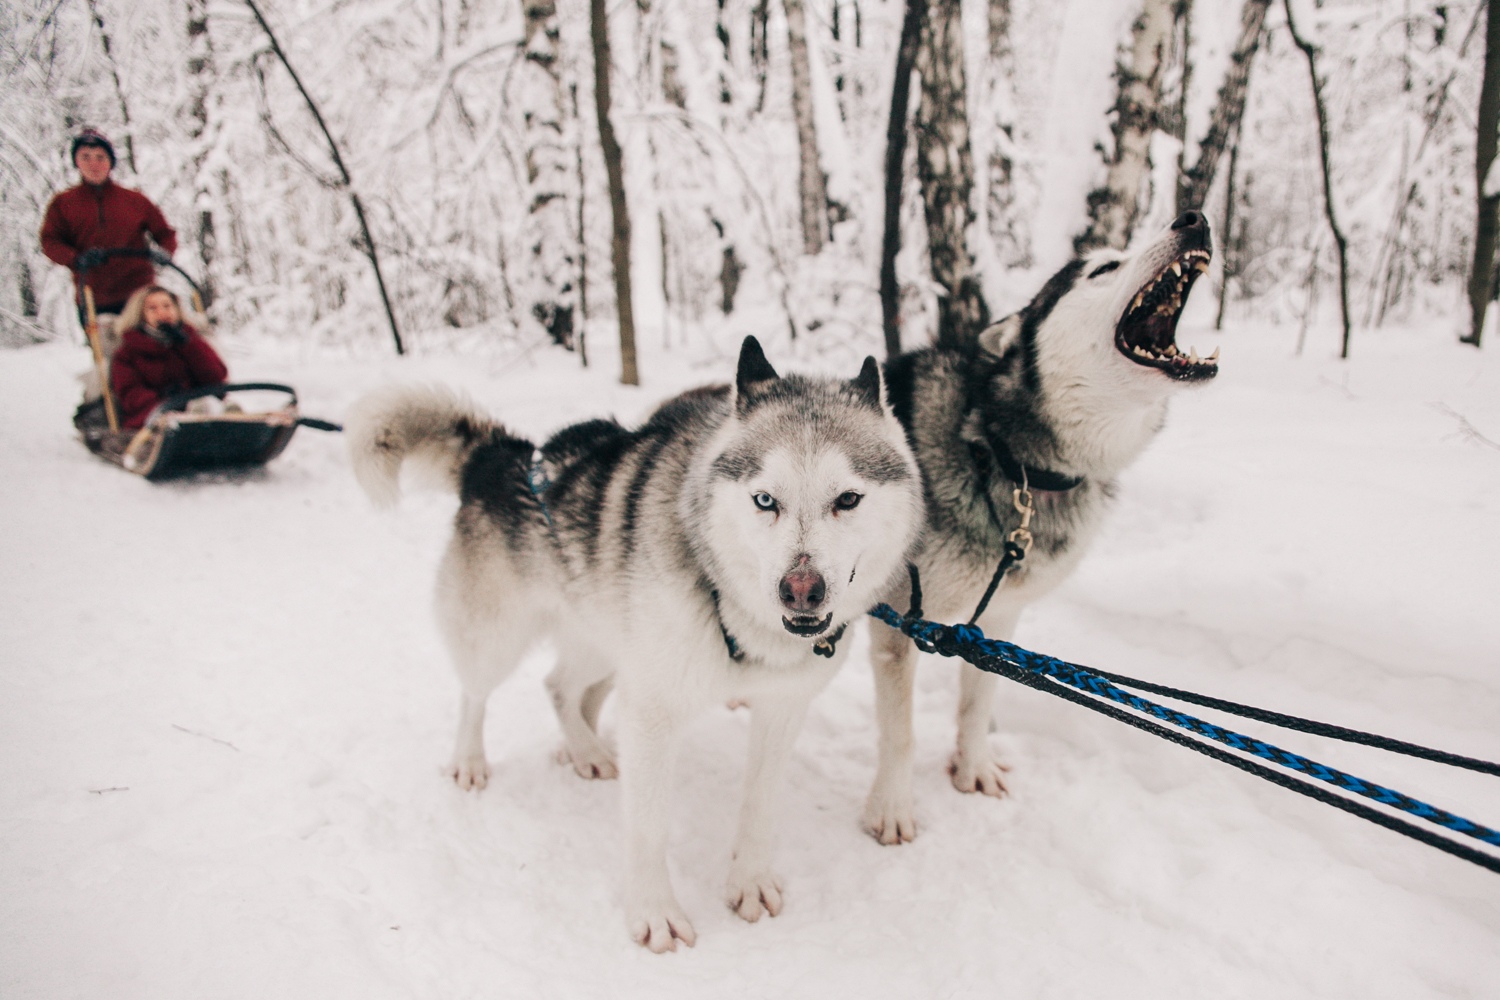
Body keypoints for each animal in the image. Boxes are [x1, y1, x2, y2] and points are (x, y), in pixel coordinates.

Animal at [348, 338, 924, 953]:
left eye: (849, 499)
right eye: (765, 499)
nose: (800, 590)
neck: (729, 610)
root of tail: (502, 454)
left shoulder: (780, 709)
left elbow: (759, 806)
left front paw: (748, 881)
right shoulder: (652, 711)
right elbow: (648, 827)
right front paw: (654, 912)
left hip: (603, 642)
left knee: (558, 686)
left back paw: (585, 750)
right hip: (498, 640)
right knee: (476, 695)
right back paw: (471, 762)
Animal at [864, 212, 1224, 845]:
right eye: (1103, 268)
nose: (1194, 218)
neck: (1005, 456)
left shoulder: (997, 619)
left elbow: (977, 706)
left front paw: (973, 770)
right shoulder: (899, 623)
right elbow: (901, 733)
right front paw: (893, 809)